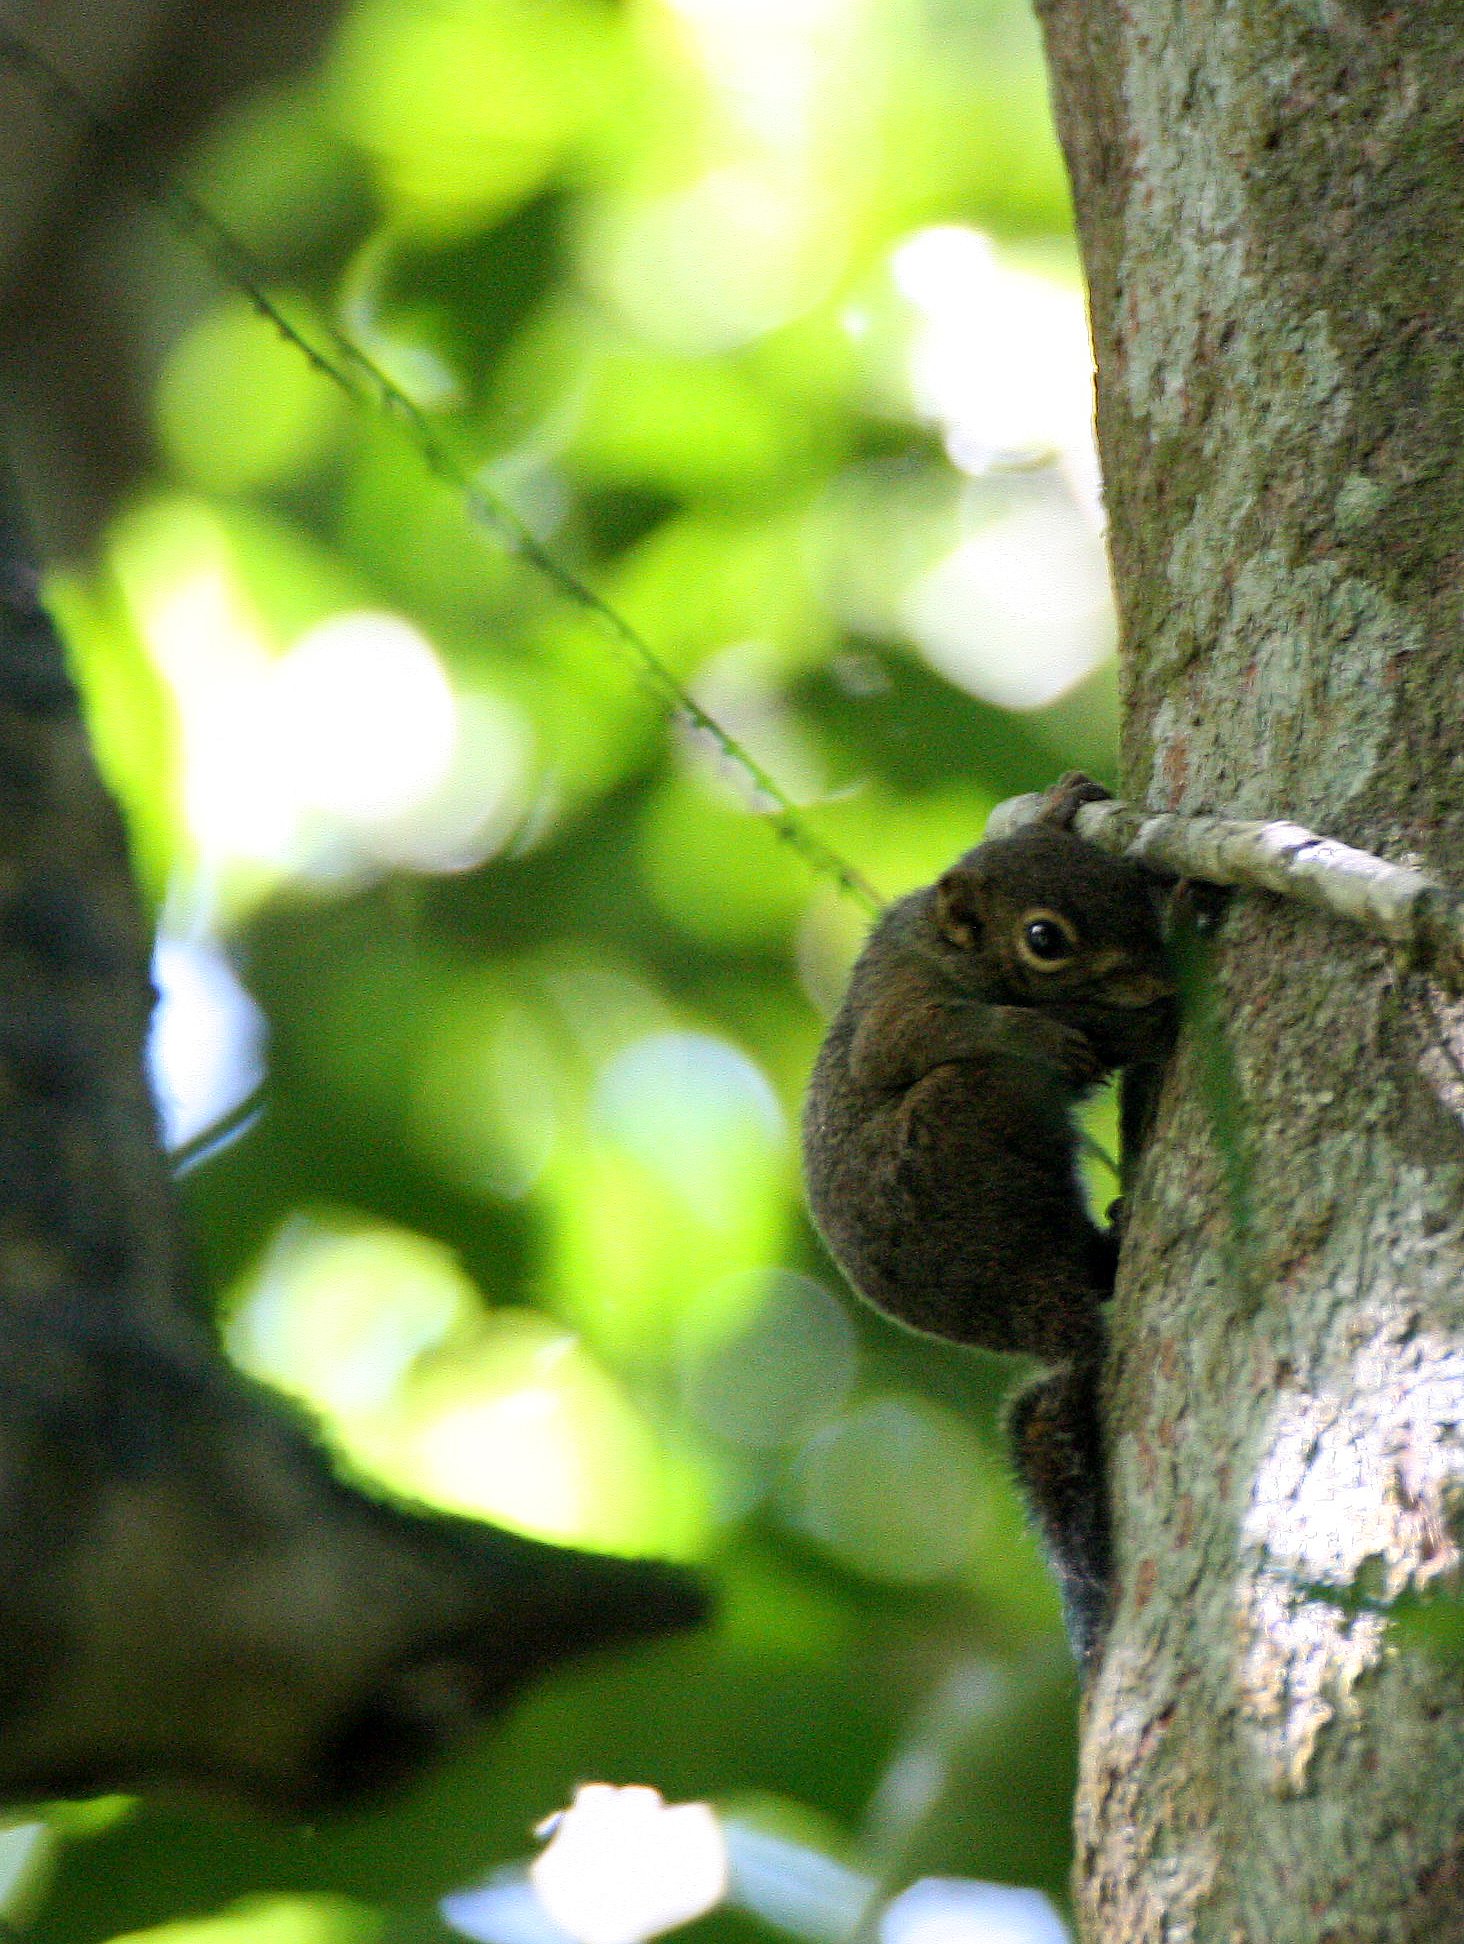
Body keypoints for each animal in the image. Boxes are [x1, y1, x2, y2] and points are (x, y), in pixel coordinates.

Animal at [801, 774, 1176, 1664]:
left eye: (1130, 887)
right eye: (1044, 938)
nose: (1154, 980)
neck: (953, 947)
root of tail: (1031, 1314)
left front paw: (1064, 801)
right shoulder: (902, 1002)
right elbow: (902, 1044)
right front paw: (1055, 1024)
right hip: (963, 1128)